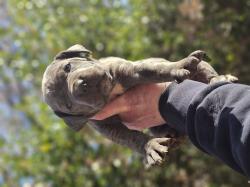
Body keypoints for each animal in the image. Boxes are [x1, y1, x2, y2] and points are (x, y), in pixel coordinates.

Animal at [42, 44, 237, 168]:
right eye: (68, 105)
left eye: (68, 67)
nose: (80, 85)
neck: (111, 92)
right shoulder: (105, 125)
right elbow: (129, 137)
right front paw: (150, 147)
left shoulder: (131, 70)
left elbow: (156, 70)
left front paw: (180, 65)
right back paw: (174, 137)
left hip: (203, 68)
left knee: (207, 72)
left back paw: (221, 78)